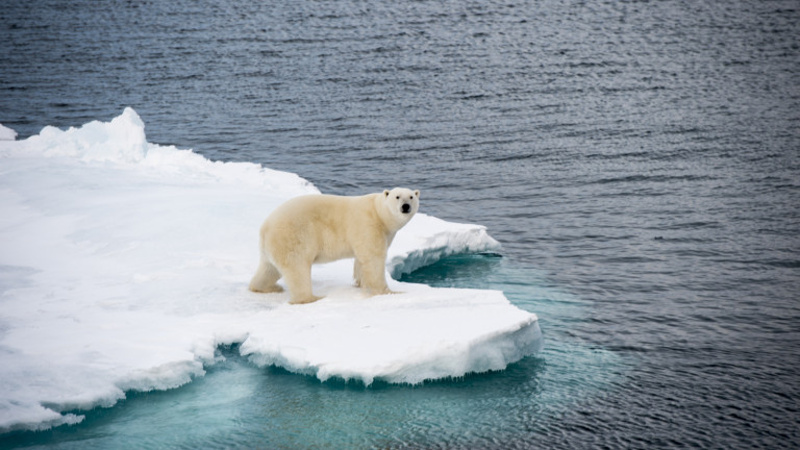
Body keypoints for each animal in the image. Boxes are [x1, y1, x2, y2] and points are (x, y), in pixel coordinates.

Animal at [250, 188, 422, 304]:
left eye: (411, 196)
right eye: (397, 196)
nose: (405, 206)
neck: (379, 213)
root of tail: (265, 227)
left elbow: (360, 259)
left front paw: (359, 283)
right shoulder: (368, 224)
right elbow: (373, 258)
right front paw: (389, 292)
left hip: (272, 246)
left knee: (269, 269)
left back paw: (267, 288)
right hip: (293, 237)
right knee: (297, 268)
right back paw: (311, 298)